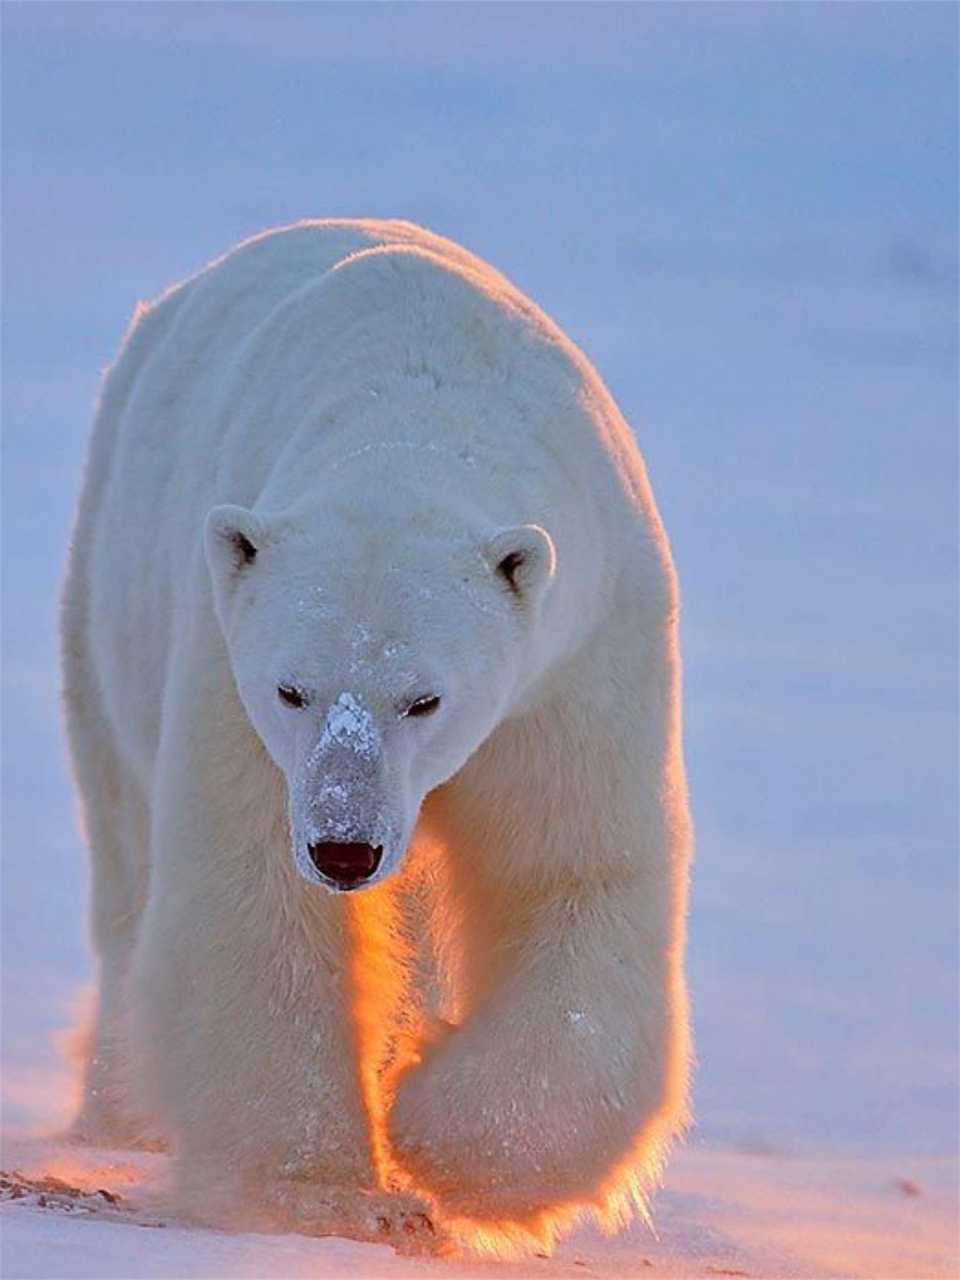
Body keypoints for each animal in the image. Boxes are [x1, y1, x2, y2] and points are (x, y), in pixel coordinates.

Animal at [62, 217, 691, 1249]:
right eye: (292, 689)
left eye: (424, 698)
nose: (345, 850)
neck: (412, 416)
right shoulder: (228, 672)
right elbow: (252, 896)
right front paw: (328, 1189)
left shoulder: (579, 664)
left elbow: (569, 871)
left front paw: (443, 1136)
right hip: (112, 590)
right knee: (125, 852)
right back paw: (120, 1114)